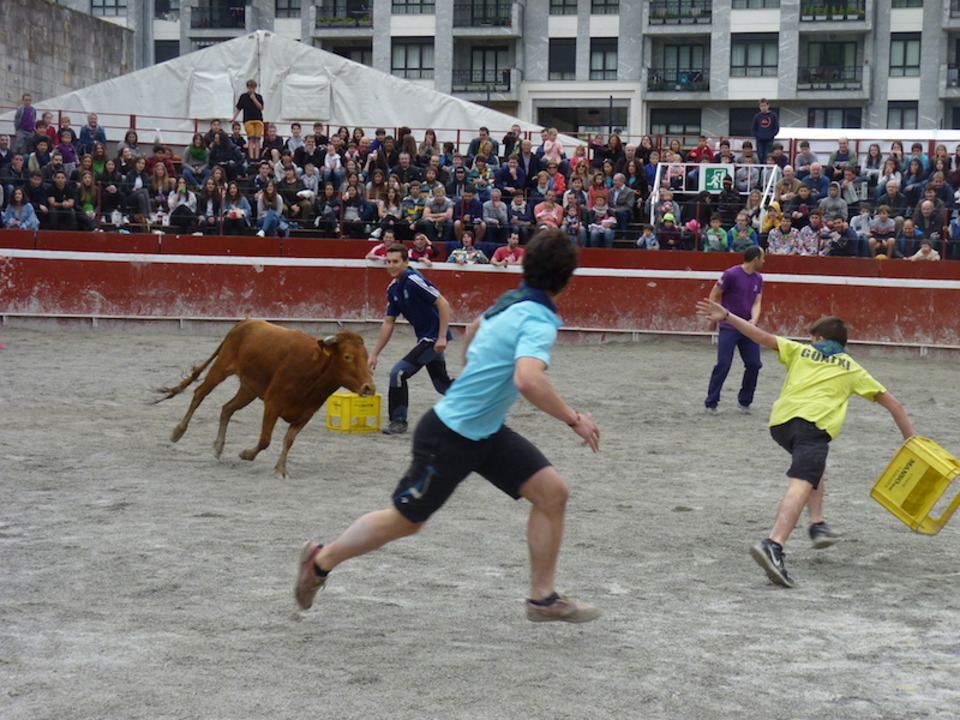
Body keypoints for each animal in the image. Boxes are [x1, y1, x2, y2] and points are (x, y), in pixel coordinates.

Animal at [157, 320, 376, 477]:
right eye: (348, 357)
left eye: (366, 357)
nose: (369, 387)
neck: (313, 370)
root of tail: (245, 322)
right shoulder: (272, 404)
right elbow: (265, 440)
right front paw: (246, 454)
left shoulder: (305, 414)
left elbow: (289, 441)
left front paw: (281, 469)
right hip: (220, 369)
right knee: (199, 394)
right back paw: (177, 432)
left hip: (248, 389)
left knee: (227, 408)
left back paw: (218, 447)